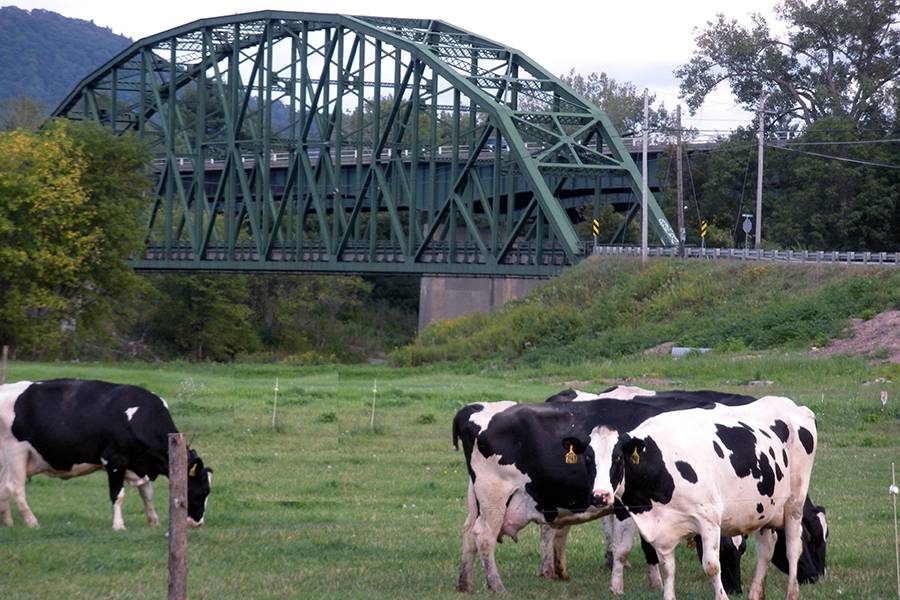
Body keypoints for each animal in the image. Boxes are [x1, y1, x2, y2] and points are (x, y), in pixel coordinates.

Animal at [0, 380, 213, 528]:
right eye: (204, 491)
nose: (198, 523)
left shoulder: (141, 463)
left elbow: (147, 494)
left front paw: (153, 521)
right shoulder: (115, 460)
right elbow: (118, 495)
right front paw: (118, 525)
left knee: (3, 485)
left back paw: (8, 522)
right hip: (16, 452)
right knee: (15, 487)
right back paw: (32, 522)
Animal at [450, 386, 760, 592]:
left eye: (743, 549)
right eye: (718, 549)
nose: (735, 590)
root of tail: (473, 409)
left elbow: (648, 545)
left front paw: (653, 581)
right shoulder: (628, 506)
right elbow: (626, 548)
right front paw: (623, 586)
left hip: (479, 498)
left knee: (467, 532)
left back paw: (466, 583)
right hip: (494, 496)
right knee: (484, 537)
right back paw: (497, 585)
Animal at [588, 394, 820, 600]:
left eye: (618, 458)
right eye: (589, 459)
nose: (600, 496)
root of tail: (793, 405)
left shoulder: (708, 519)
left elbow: (712, 566)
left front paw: (722, 597)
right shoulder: (664, 529)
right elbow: (668, 568)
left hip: (794, 503)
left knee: (793, 547)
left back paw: (792, 593)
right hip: (764, 509)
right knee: (766, 548)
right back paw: (755, 593)